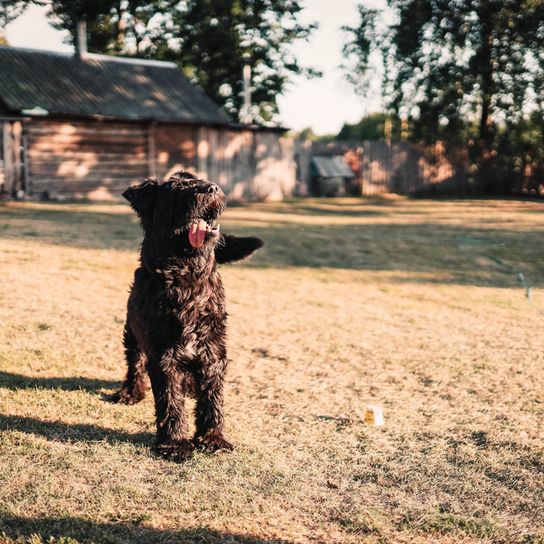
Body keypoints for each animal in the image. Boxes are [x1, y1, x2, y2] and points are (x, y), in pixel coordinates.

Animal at [111, 172, 262, 462]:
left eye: (201, 180)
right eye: (177, 191)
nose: (212, 188)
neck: (186, 276)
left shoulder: (213, 351)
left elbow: (212, 400)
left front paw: (213, 438)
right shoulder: (163, 355)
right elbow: (170, 401)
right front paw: (175, 443)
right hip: (132, 335)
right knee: (135, 363)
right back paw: (131, 391)